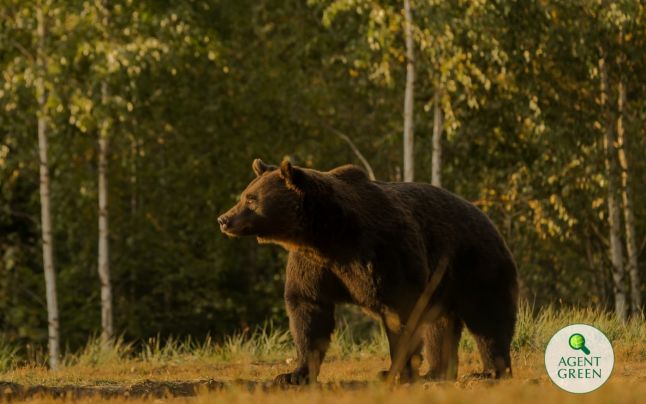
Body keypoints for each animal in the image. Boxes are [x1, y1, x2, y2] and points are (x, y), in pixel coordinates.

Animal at [219, 158, 520, 386]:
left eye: (251, 199)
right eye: (245, 195)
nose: (224, 219)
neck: (328, 236)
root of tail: (485, 217)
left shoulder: (382, 252)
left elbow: (401, 312)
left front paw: (395, 371)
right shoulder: (313, 265)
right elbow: (308, 311)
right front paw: (293, 374)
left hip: (476, 263)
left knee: (488, 316)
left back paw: (490, 371)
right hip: (443, 283)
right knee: (440, 325)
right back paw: (436, 373)